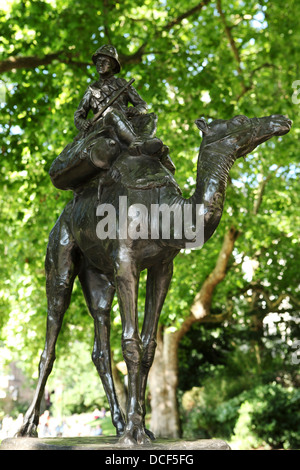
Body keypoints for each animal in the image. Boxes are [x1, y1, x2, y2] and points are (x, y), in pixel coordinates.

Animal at [15, 112, 290, 442]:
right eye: (238, 119)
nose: (281, 120)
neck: (165, 213)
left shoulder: (163, 266)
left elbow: (148, 346)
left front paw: (141, 427)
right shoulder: (125, 262)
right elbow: (131, 342)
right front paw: (134, 433)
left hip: (97, 276)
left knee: (100, 338)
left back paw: (118, 423)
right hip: (61, 258)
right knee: (51, 337)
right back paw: (27, 427)